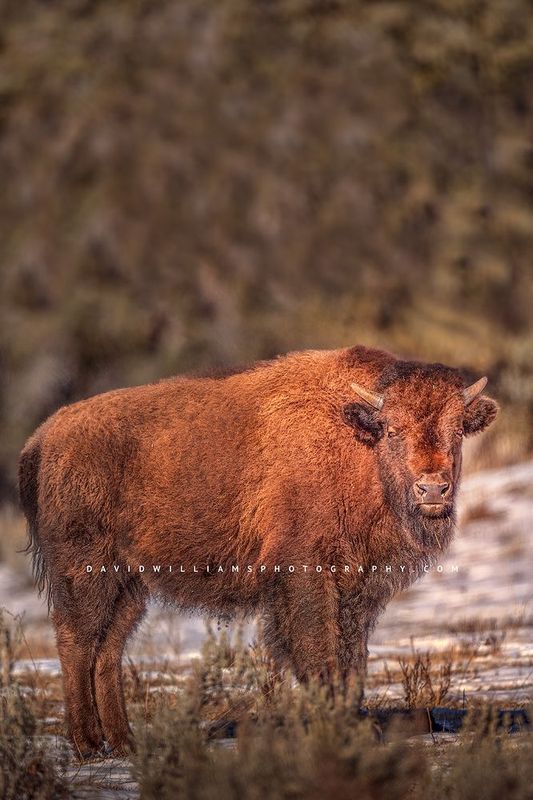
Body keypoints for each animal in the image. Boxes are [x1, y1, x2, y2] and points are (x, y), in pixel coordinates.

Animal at [17, 346, 498, 756]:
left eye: (458, 430)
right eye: (393, 430)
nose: (432, 488)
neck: (357, 442)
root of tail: (41, 441)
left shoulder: (358, 590)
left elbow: (352, 660)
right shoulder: (305, 575)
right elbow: (318, 654)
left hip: (130, 585)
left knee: (108, 650)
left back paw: (124, 743)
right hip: (84, 573)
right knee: (77, 641)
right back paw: (87, 745)